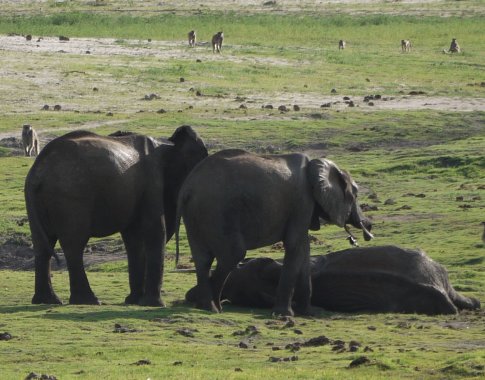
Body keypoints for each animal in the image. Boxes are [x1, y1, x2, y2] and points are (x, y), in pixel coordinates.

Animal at [25, 126, 206, 308]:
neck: (168, 144)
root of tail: (37, 172)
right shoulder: (152, 184)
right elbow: (155, 230)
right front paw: (152, 304)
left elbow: (134, 239)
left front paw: (134, 301)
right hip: (71, 196)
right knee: (74, 245)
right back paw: (88, 300)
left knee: (43, 245)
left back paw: (47, 300)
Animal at [176, 150, 372, 316]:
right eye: (355, 195)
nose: (368, 228)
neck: (316, 165)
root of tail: (187, 189)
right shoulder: (302, 201)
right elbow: (294, 245)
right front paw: (285, 314)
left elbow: (303, 248)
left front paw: (309, 312)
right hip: (217, 210)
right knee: (233, 254)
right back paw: (214, 308)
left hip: (196, 214)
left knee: (203, 259)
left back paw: (205, 306)